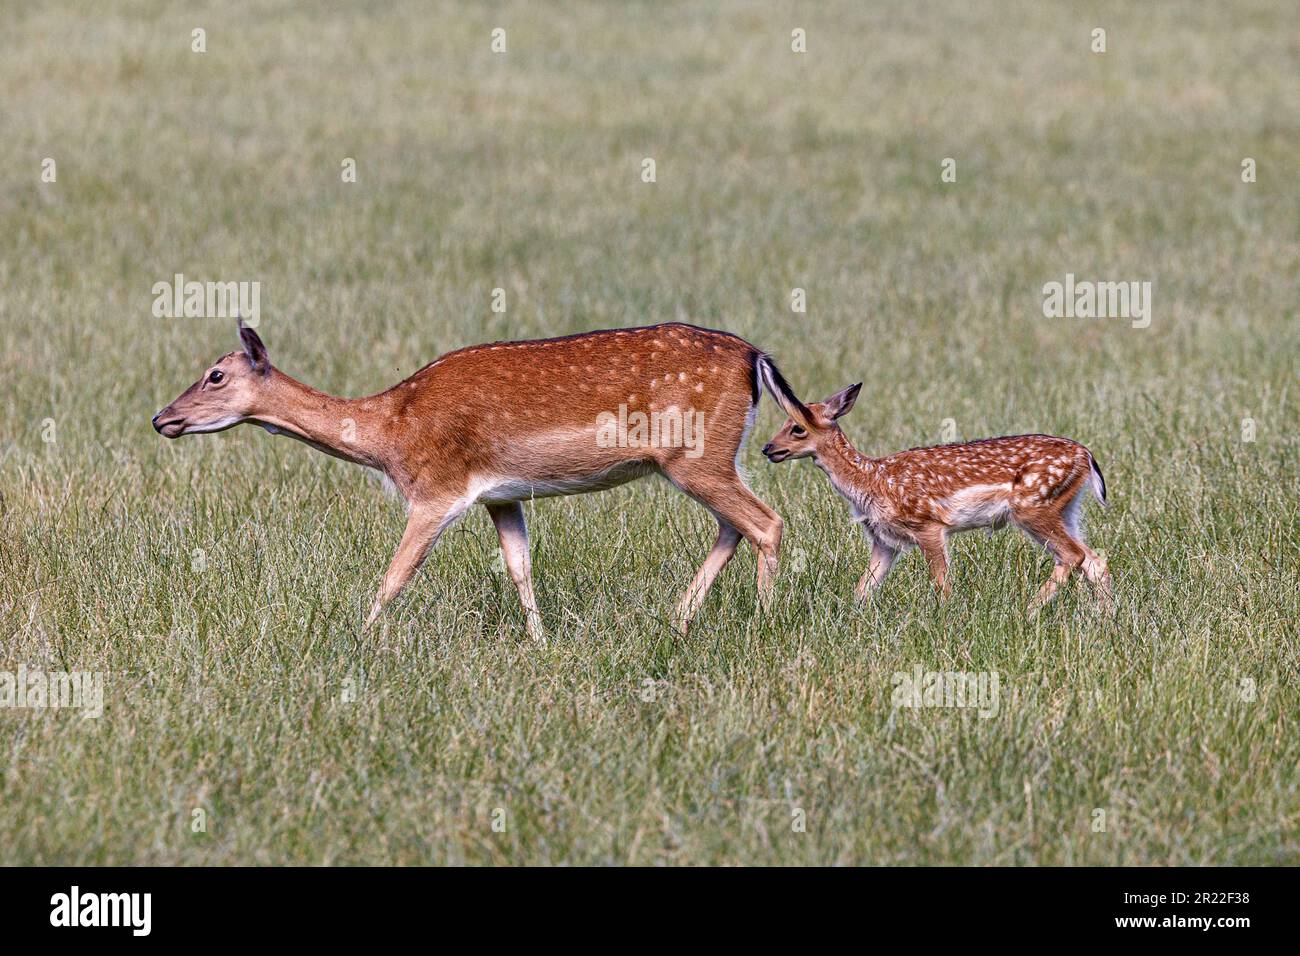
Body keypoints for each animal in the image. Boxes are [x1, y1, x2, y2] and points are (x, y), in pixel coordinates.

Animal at [153, 321, 804, 641]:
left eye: (214, 375)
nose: (162, 418)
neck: (390, 435)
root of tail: (757, 358)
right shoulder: (501, 496)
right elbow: (520, 567)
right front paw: (542, 643)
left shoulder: (436, 489)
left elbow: (394, 576)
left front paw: (352, 642)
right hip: (709, 459)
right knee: (734, 525)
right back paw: (677, 619)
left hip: (697, 455)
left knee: (766, 521)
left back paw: (764, 623)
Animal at [758, 374, 1114, 614]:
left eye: (797, 428)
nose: (768, 448)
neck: (871, 480)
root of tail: (1085, 456)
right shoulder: (884, 540)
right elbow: (864, 587)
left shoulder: (928, 524)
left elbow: (941, 582)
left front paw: (945, 617)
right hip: (1065, 508)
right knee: (1093, 558)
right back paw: (1104, 616)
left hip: (1034, 507)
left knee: (1073, 555)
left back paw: (1028, 610)